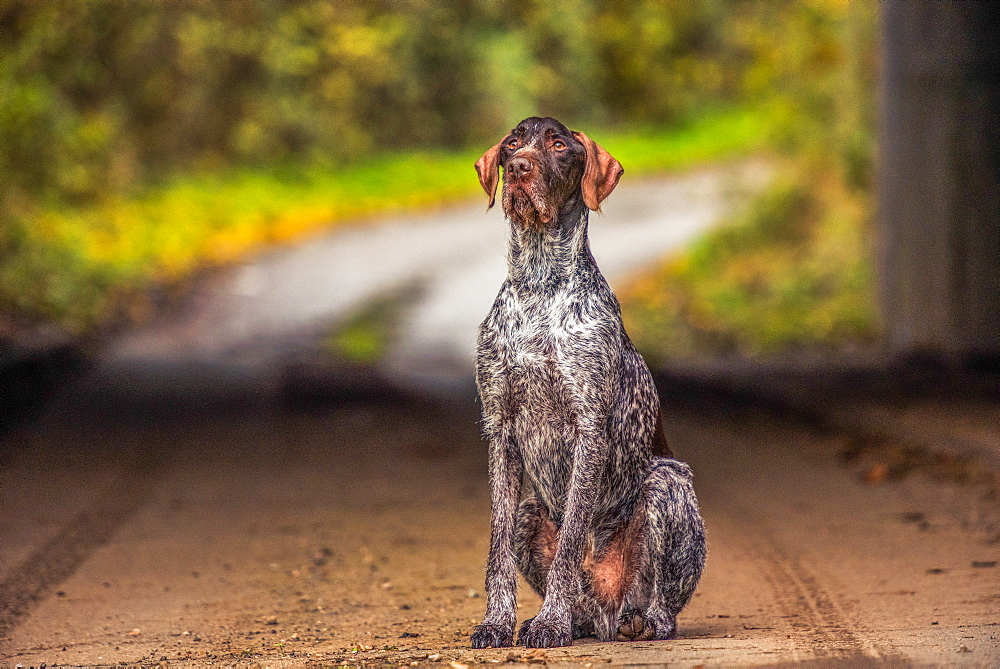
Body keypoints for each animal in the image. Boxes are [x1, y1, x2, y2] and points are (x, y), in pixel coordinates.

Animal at [472, 116, 708, 648]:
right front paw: (498, 623)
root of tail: (607, 616)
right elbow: (497, 547)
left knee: (658, 604)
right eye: (513, 144)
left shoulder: (589, 430)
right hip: (530, 512)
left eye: (560, 146)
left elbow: (571, 542)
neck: (539, 284)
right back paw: (577, 619)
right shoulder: (499, 429)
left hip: (668, 485)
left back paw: (641, 620)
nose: (519, 168)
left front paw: (550, 623)